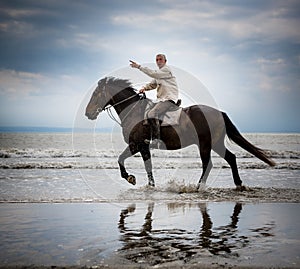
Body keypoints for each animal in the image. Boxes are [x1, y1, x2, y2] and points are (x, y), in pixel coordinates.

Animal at [84, 76, 274, 188]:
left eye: (96, 94)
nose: (88, 113)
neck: (134, 110)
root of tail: (219, 112)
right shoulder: (137, 145)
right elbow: (127, 160)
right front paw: (135, 180)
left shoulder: (139, 145)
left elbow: (133, 163)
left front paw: (135, 180)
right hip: (216, 143)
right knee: (231, 158)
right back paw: (238, 184)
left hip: (205, 144)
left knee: (208, 164)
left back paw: (199, 187)